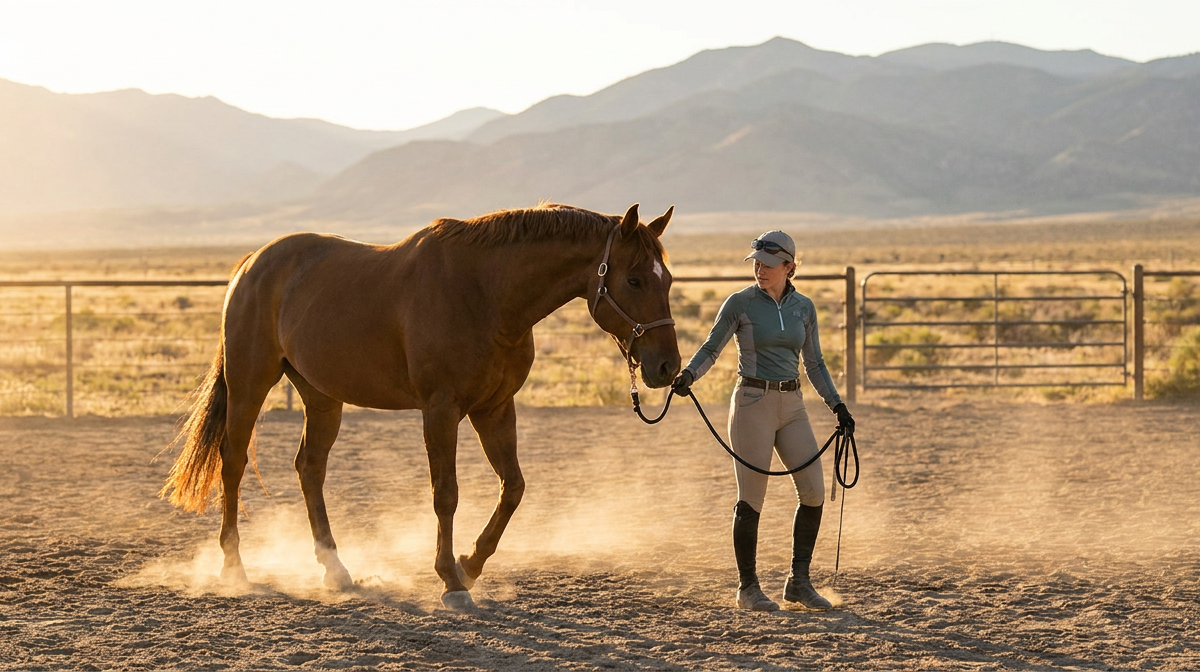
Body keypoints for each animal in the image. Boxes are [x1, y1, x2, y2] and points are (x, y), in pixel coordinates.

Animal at [159, 203, 680, 611]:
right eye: (634, 279)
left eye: (668, 279)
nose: (667, 366)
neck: (485, 294)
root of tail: (251, 264)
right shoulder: (441, 409)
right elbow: (445, 493)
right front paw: (451, 580)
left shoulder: (494, 408)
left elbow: (513, 487)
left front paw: (470, 564)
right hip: (250, 384)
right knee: (232, 463)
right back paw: (234, 568)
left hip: (322, 396)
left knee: (309, 468)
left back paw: (335, 569)